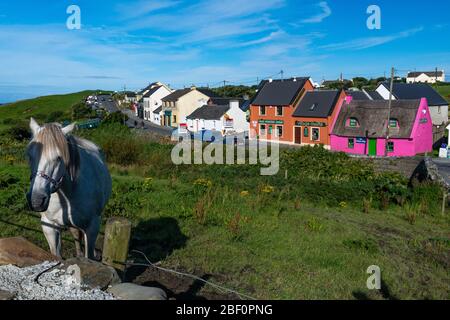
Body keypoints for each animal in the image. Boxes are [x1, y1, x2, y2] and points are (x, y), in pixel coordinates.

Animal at [26, 119, 111, 258]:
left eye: (59, 157)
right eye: (29, 155)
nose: (36, 200)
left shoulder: (92, 227)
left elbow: (89, 256)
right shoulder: (49, 226)